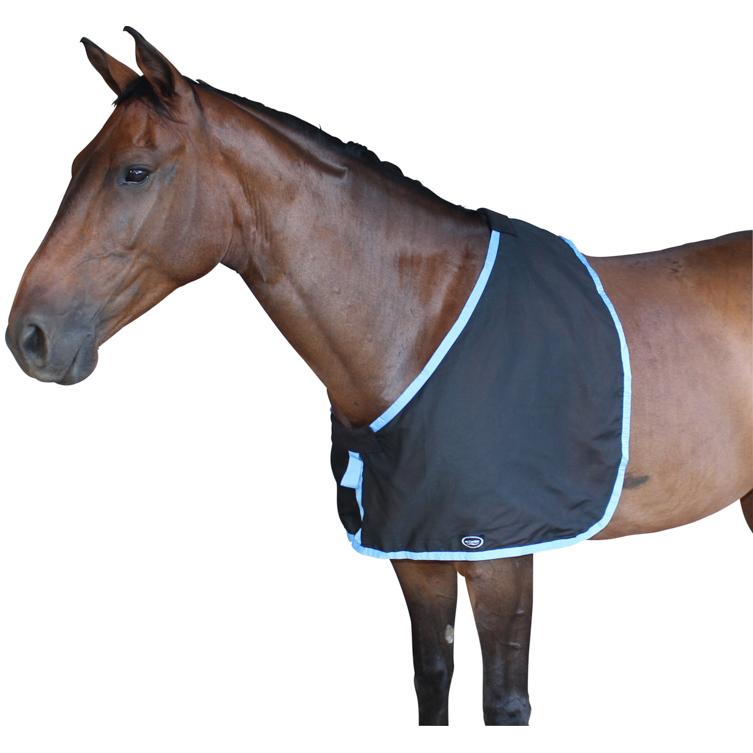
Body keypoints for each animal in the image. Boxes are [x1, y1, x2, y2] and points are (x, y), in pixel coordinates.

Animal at [5, 28, 752, 726]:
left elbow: (504, 702)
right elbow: (432, 682)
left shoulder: (502, 558)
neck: (418, 321)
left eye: (134, 172)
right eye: (76, 165)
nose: (28, 337)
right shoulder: (415, 555)